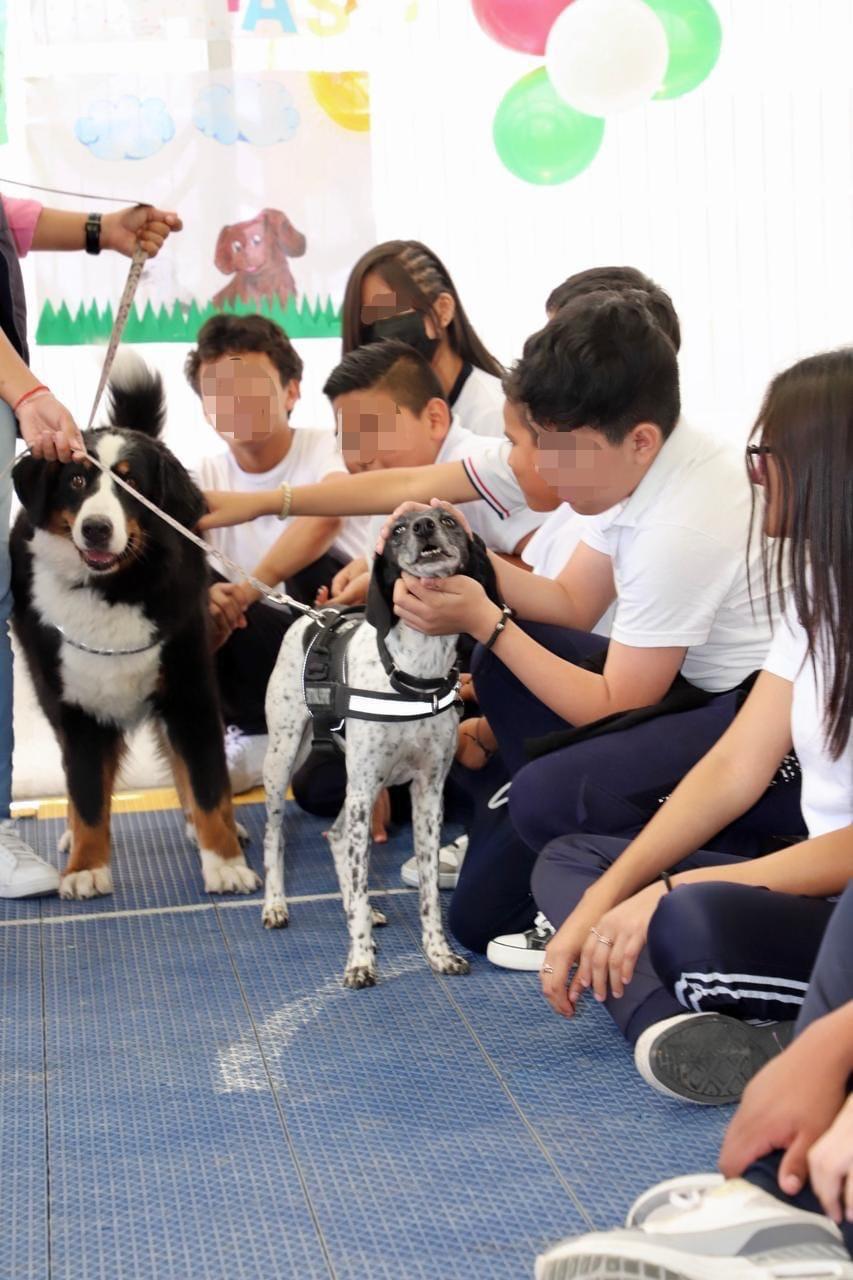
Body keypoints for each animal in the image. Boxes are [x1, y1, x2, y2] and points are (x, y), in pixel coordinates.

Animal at [258, 504, 499, 983]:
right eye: (400, 528)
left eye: (448, 519)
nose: (424, 526)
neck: (414, 671)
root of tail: (315, 614)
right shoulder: (365, 790)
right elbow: (358, 875)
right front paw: (359, 962)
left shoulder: (428, 794)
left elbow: (428, 893)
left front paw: (438, 953)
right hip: (286, 761)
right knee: (275, 838)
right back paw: (276, 905)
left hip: (361, 787)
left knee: (335, 837)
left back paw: (361, 911)